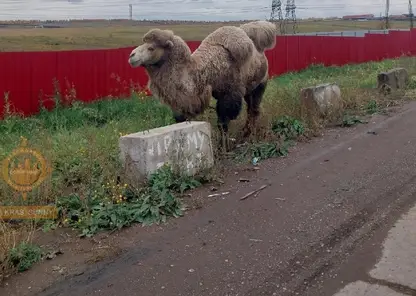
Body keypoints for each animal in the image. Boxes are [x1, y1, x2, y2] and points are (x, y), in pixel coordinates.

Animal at [127, 20, 276, 149]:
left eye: (151, 48)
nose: (131, 55)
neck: (201, 74)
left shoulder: (229, 94)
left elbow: (223, 123)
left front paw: (224, 146)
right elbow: (181, 121)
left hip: (260, 84)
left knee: (254, 109)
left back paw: (249, 134)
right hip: (249, 89)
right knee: (251, 109)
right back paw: (246, 133)